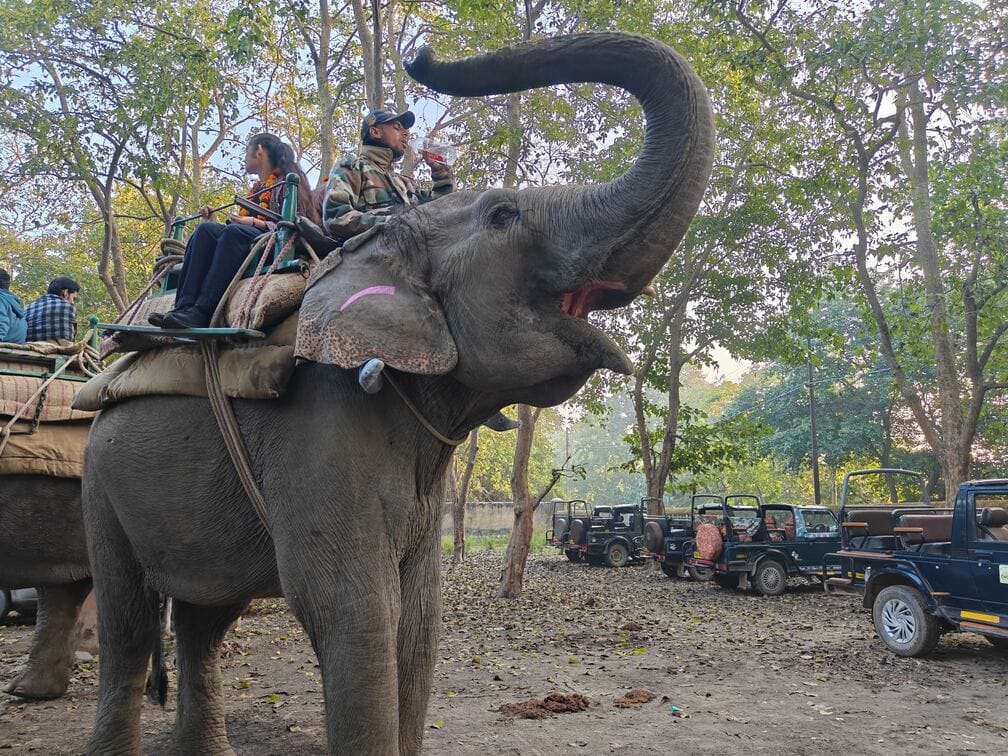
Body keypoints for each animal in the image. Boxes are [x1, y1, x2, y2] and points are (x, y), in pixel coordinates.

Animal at [82, 31, 714, 755]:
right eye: (504, 214)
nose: (421, 56)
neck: (367, 250)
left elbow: (417, 623)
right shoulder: (319, 427)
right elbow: (351, 612)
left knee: (202, 621)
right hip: (97, 477)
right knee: (128, 623)